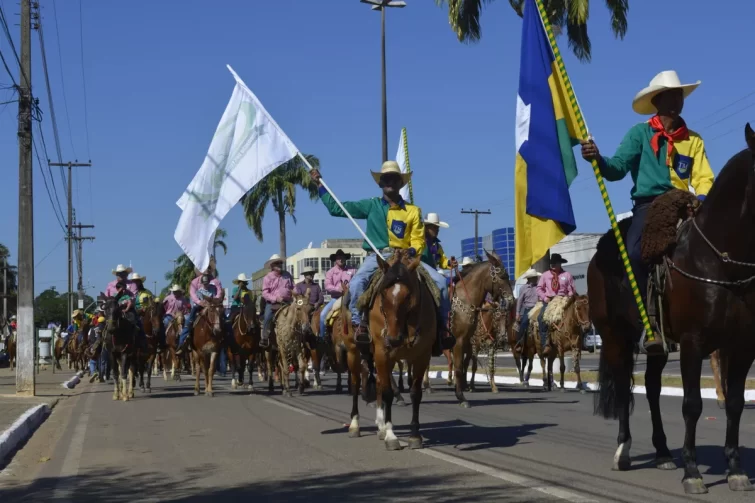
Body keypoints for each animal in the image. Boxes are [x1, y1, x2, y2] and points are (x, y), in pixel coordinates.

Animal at [448, 252, 512, 410]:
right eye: (502, 276)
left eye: (507, 319)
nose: (511, 300)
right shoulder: (463, 343)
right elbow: (463, 367)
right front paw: (462, 395)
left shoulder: (477, 345)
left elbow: (486, 366)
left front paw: (493, 387)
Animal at [592, 123, 755, 496]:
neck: (719, 263)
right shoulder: (694, 344)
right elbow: (692, 404)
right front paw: (692, 472)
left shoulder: (741, 346)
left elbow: (736, 404)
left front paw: (735, 470)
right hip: (614, 336)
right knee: (623, 387)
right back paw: (623, 452)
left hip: (659, 345)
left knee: (652, 388)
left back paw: (664, 452)